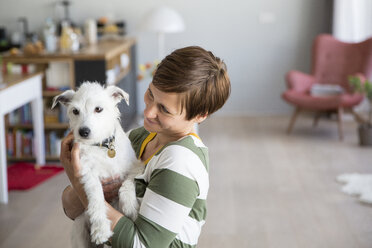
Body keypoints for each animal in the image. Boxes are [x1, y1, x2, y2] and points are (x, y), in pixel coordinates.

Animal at [50, 81, 141, 246]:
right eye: (75, 111)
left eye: (98, 109)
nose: (83, 132)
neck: (101, 146)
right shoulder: (88, 175)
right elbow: (96, 197)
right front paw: (100, 228)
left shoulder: (136, 166)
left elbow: (128, 183)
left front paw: (130, 207)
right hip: (80, 230)